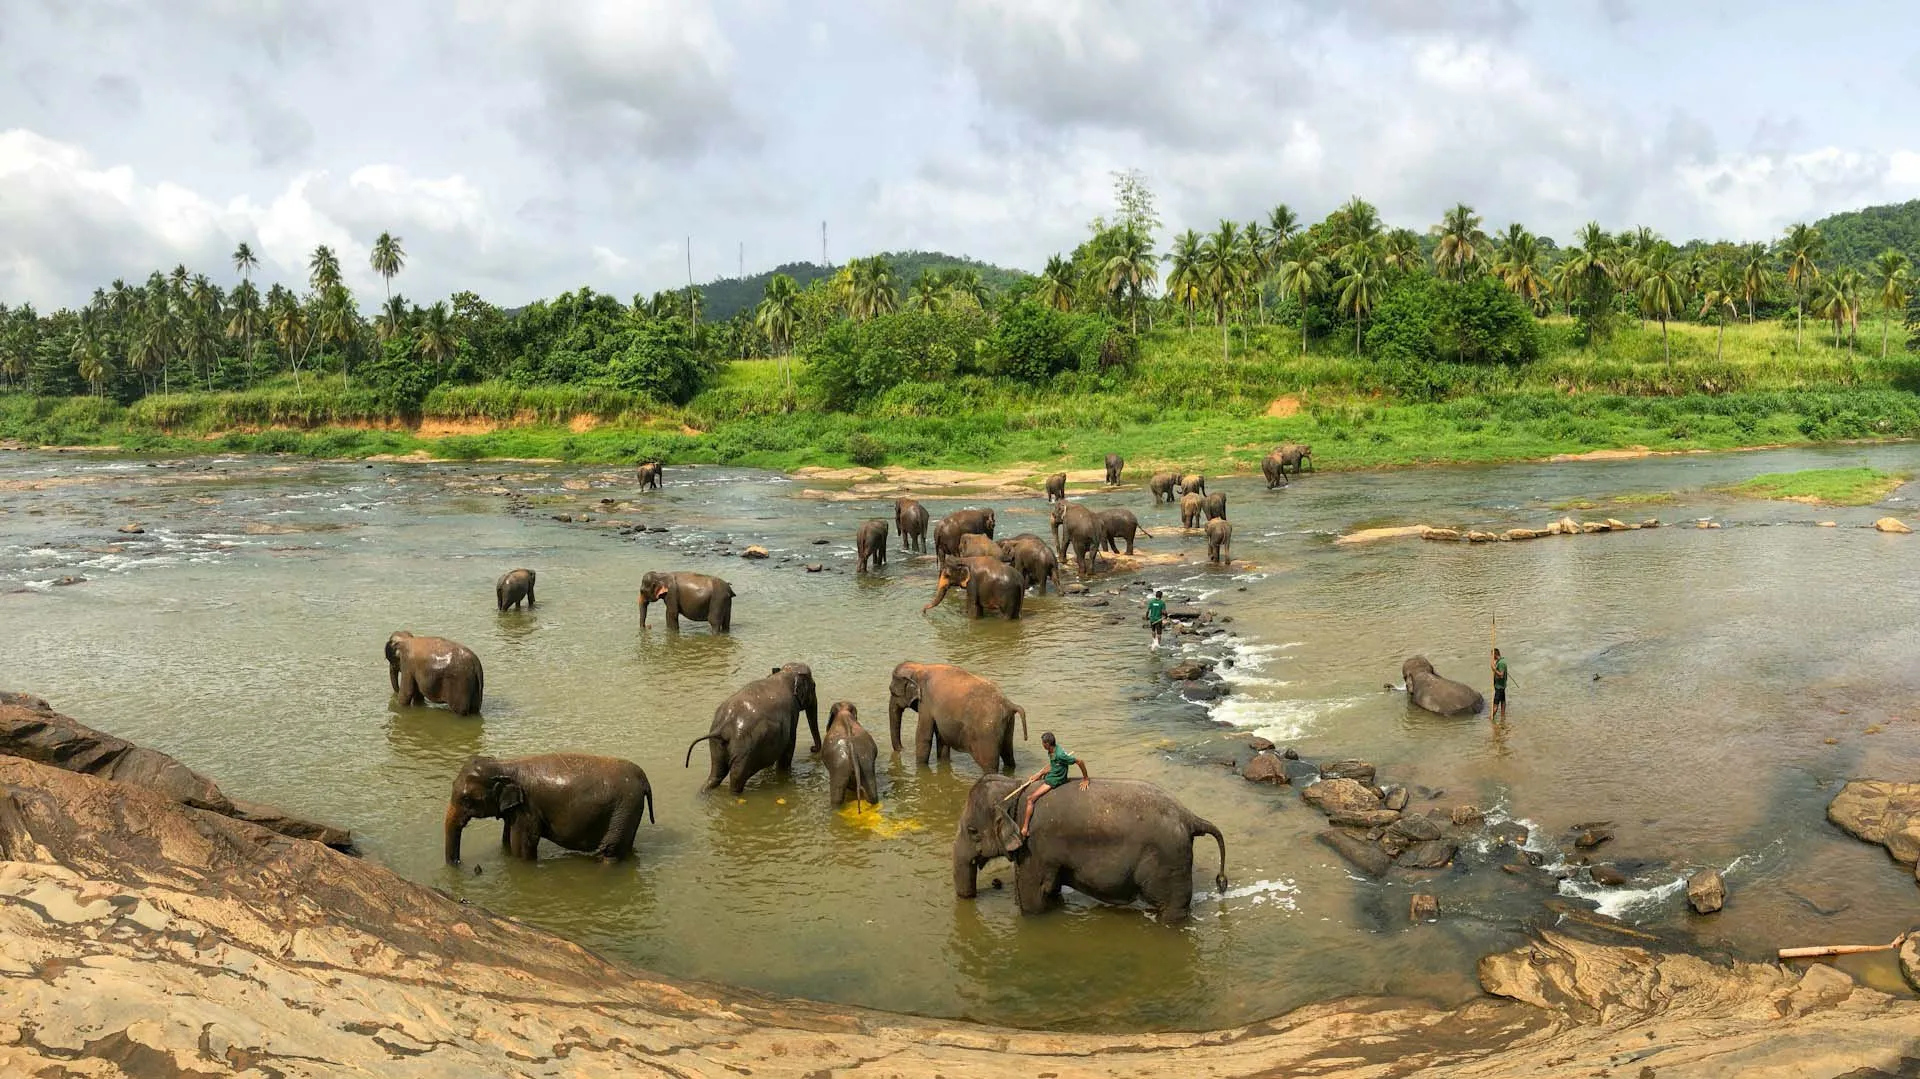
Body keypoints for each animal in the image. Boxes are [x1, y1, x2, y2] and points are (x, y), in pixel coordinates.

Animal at [444, 753, 653, 864]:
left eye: (466, 800)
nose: (459, 863)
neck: (504, 765)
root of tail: (643, 776)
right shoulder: (516, 810)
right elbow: (506, 840)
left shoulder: (528, 810)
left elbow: (522, 848)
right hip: (629, 811)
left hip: (624, 809)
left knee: (610, 851)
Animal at [685, 664, 822, 794]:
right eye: (814, 686)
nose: (812, 749)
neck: (785, 673)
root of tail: (724, 726)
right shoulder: (793, 711)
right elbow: (789, 745)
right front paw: (784, 775)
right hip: (745, 749)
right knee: (736, 779)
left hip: (717, 745)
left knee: (716, 774)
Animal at [887, 660, 1027, 771]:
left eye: (892, 692)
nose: (902, 749)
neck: (919, 667)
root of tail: (1009, 704)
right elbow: (941, 738)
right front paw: (943, 762)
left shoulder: (926, 703)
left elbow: (923, 736)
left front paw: (921, 768)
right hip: (1008, 725)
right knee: (1008, 756)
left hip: (987, 733)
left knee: (990, 765)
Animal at [953, 774, 1228, 923]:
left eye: (972, 831)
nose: (973, 896)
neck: (1015, 786)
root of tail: (1190, 817)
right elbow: (1050, 891)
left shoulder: (1033, 846)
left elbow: (1032, 895)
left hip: (1169, 861)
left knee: (1171, 909)